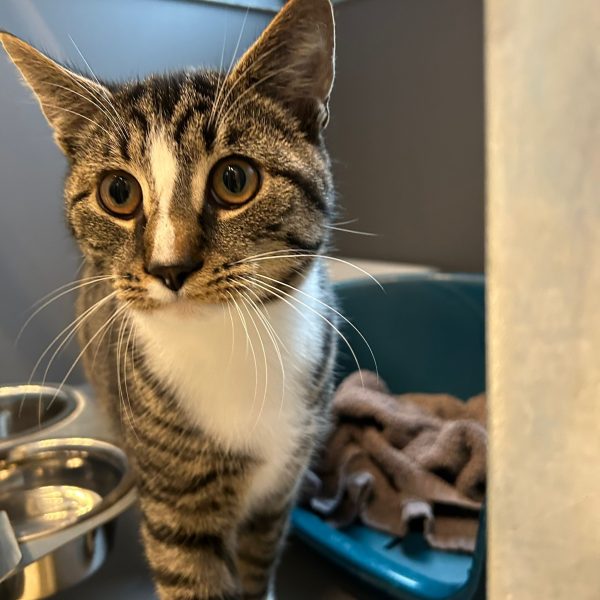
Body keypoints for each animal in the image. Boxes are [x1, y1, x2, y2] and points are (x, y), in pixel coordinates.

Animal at [0, 0, 337, 598]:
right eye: (118, 192)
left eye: (234, 179)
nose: (169, 267)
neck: (230, 342)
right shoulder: (177, 511)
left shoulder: (276, 499)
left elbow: (258, 568)